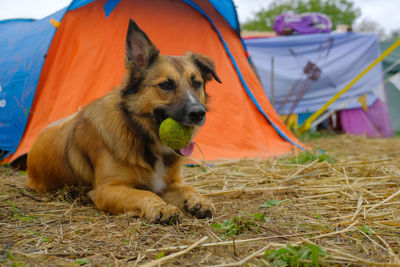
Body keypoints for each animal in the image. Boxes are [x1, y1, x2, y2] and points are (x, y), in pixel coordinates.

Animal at [26, 18, 222, 224]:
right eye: (166, 85)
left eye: (197, 83)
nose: (198, 114)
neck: (137, 131)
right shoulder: (107, 189)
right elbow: (144, 193)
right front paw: (161, 208)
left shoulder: (170, 183)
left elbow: (188, 187)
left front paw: (199, 200)